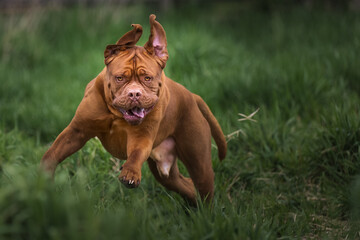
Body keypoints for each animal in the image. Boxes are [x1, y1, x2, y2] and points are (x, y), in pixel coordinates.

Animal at [40, 14, 226, 203]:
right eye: (120, 78)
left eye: (147, 78)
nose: (134, 93)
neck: (116, 115)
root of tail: (192, 95)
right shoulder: (77, 131)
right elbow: (53, 152)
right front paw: (44, 176)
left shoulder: (141, 138)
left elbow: (136, 154)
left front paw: (130, 174)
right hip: (166, 174)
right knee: (186, 185)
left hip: (199, 162)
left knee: (202, 186)